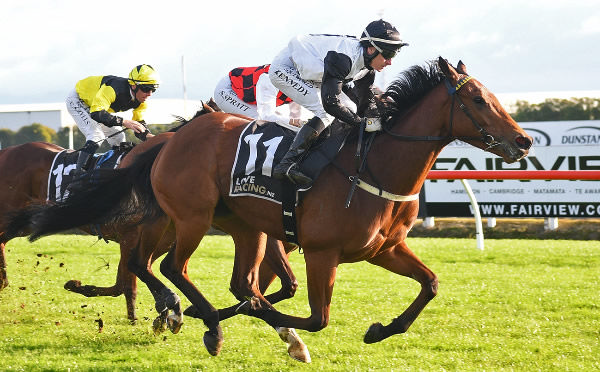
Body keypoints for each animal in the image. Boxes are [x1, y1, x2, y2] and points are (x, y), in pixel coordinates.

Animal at [7, 58, 532, 358]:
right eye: (477, 99)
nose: (524, 141)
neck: (373, 166)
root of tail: (172, 138)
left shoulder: (384, 249)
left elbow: (431, 284)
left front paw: (381, 330)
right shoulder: (321, 252)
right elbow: (316, 317)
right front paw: (286, 334)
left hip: (242, 227)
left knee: (225, 280)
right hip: (191, 218)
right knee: (172, 268)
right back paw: (204, 322)